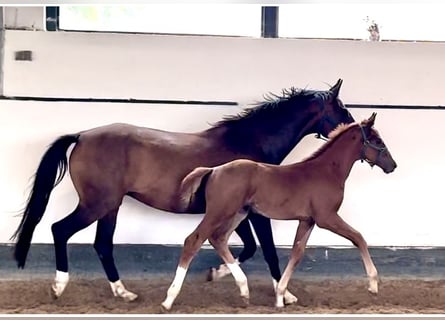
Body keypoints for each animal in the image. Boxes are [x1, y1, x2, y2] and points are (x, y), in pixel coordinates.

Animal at [10, 78, 354, 302]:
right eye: (340, 109)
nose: (354, 128)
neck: (250, 144)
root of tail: (81, 136)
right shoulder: (255, 214)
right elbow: (266, 250)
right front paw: (286, 294)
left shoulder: (235, 214)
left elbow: (246, 248)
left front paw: (215, 273)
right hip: (96, 204)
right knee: (60, 229)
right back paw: (59, 286)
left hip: (110, 207)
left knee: (102, 245)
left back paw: (124, 292)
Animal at [161, 113, 398, 310]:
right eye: (377, 141)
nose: (393, 166)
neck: (326, 171)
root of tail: (214, 170)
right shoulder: (326, 217)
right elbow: (358, 238)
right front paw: (373, 285)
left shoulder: (307, 220)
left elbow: (297, 253)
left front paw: (281, 296)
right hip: (220, 212)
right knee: (194, 240)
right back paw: (169, 299)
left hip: (238, 214)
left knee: (218, 239)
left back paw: (242, 289)